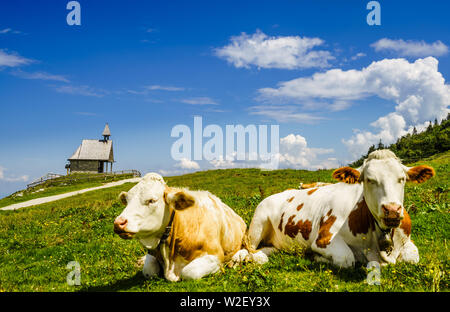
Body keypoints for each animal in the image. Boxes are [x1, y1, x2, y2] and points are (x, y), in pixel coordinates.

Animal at [113, 172, 246, 282]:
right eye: (127, 201)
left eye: (151, 200)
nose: (118, 223)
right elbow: (148, 271)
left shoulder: (216, 255)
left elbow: (189, 272)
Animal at [237, 150, 434, 266]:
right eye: (369, 179)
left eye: (402, 178)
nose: (392, 210)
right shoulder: (323, 238)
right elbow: (347, 258)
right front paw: (317, 257)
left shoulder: (407, 241)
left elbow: (412, 258)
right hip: (257, 223)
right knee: (247, 248)